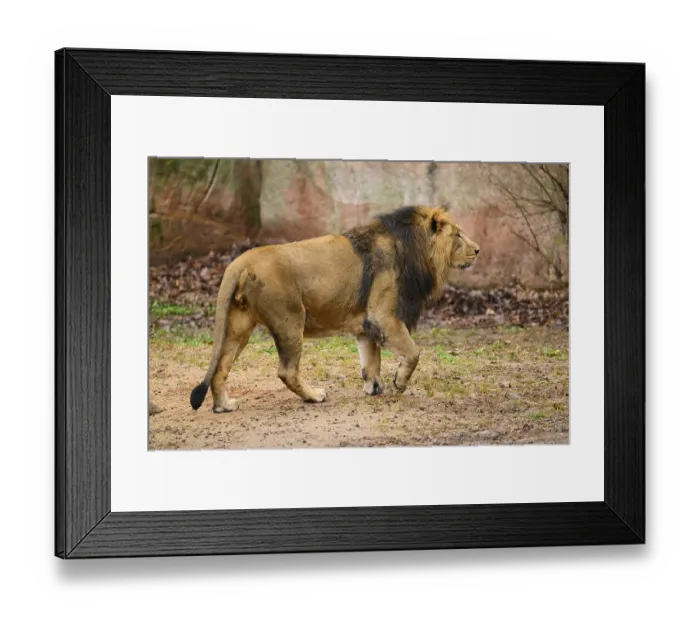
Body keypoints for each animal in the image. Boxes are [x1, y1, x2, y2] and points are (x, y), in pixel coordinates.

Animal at [189, 205, 480, 412]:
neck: (412, 248)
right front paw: (399, 382)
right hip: (290, 319)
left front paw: (374, 387)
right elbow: (413, 352)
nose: (477, 250)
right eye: (457, 235)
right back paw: (314, 396)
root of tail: (239, 263)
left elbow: (371, 359)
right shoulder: (383, 315)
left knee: (221, 368)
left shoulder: (366, 325)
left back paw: (224, 406)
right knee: (287, 371)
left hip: (239, 326)